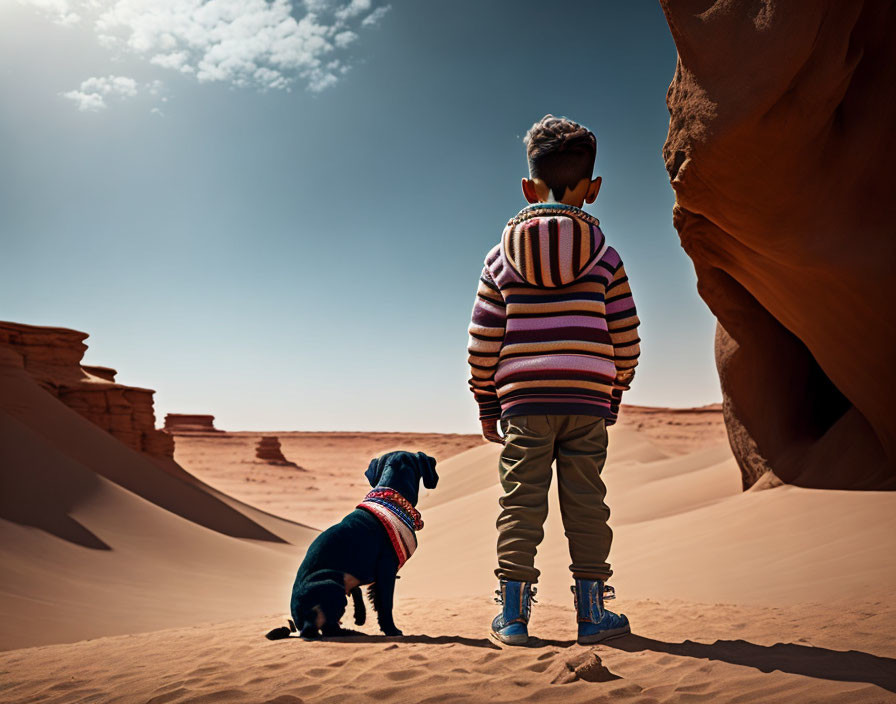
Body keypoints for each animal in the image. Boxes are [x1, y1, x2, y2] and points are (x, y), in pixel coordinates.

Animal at [274, 452, 440, 640]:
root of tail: (301, 625)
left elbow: (362, 594)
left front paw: (361, 616)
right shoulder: (386, 570)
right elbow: (385, 605)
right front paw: (391, 630)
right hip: (333, 586)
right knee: (327, 629)